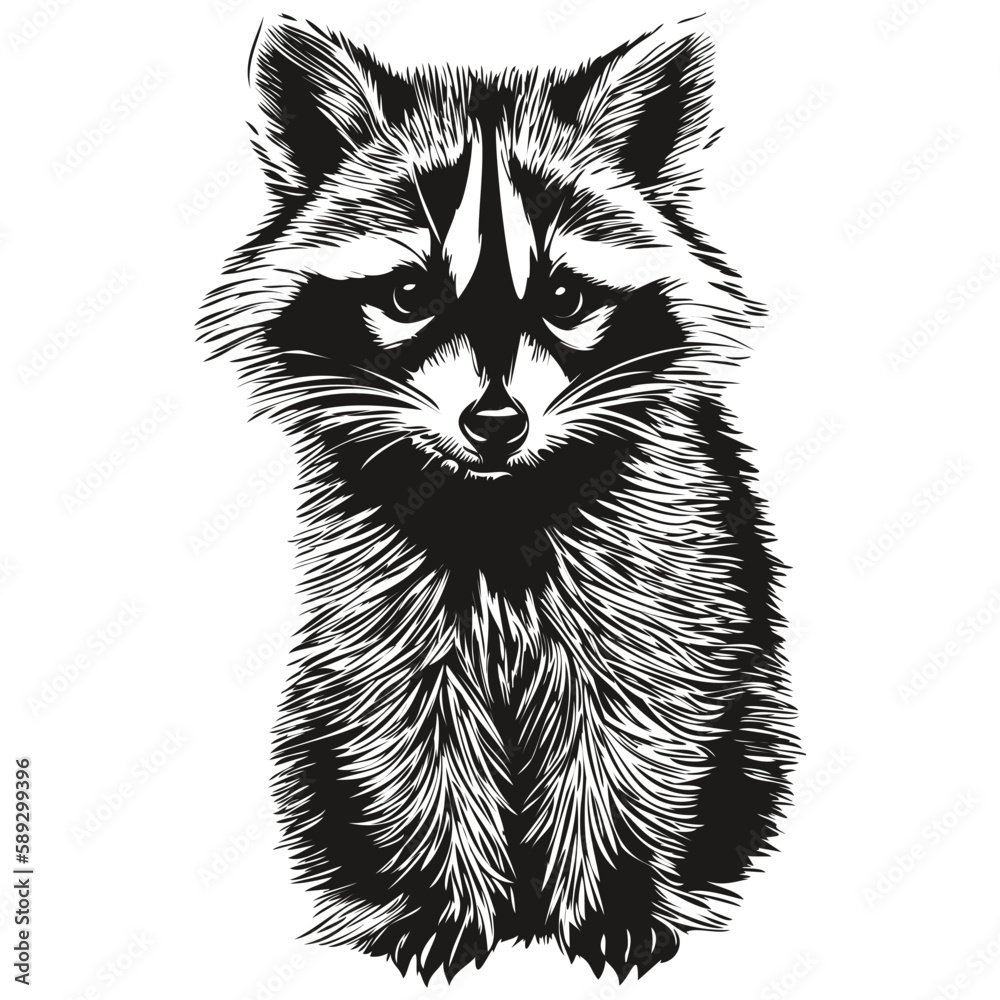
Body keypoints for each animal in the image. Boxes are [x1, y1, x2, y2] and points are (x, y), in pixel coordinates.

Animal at [199, 16, 796, 983]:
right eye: (410, 294)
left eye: (564, 297)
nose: (495, 422)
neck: (495, 500)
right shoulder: (378, 586)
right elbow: (407, 730)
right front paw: (443, 902)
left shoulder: (661, 554)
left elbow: (637, 719)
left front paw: (614, 895)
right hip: (312, 734)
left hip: (751, 717)